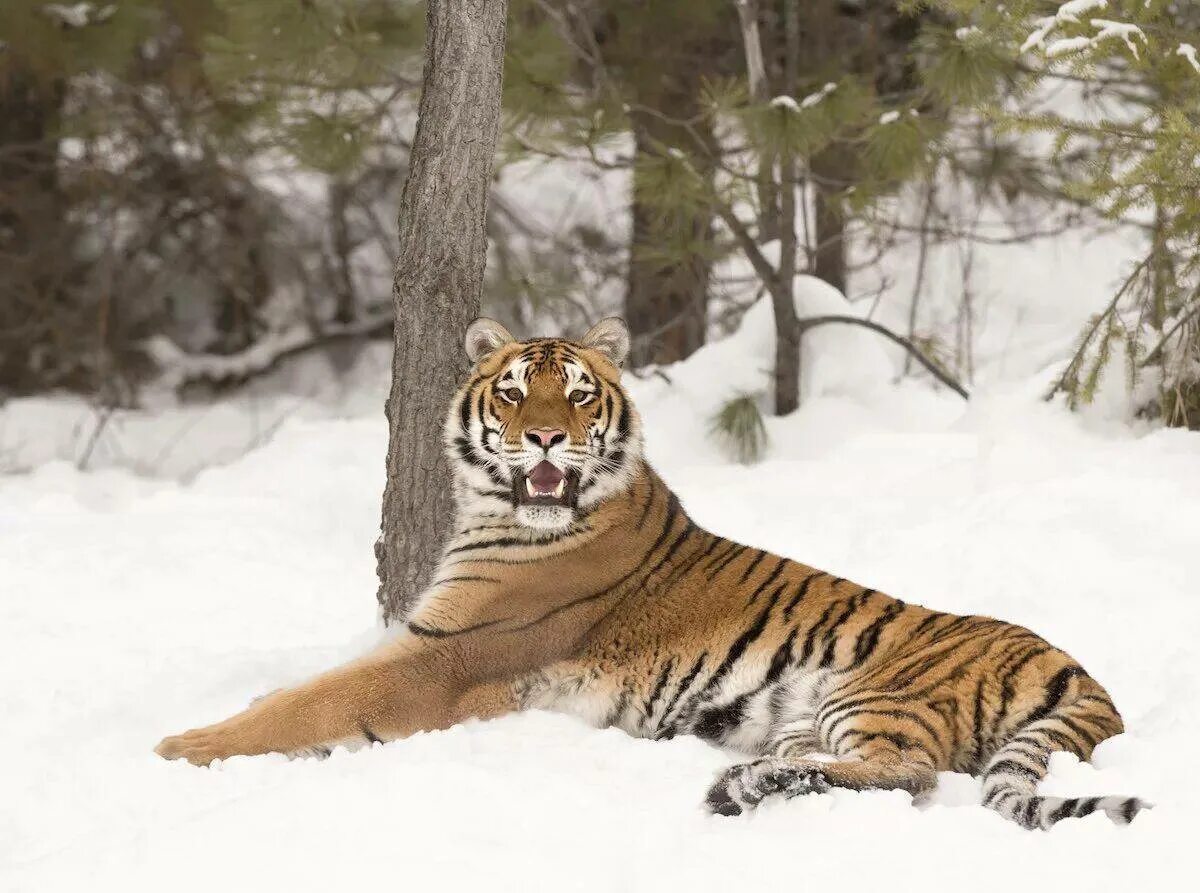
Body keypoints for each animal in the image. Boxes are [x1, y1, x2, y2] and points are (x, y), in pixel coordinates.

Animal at [154, 316, 1147, 830]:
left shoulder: (446, 656)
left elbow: (313, 702)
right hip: (812, 713)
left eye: (577, 393)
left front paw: (176, 749)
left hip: (875, 690)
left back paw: (746, 791)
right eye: (512, 390)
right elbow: (299, 689)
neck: (501, 514)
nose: (544, 436)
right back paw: (753, 779)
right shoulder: (425, 635)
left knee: (911, 775)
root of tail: (1086, 673)